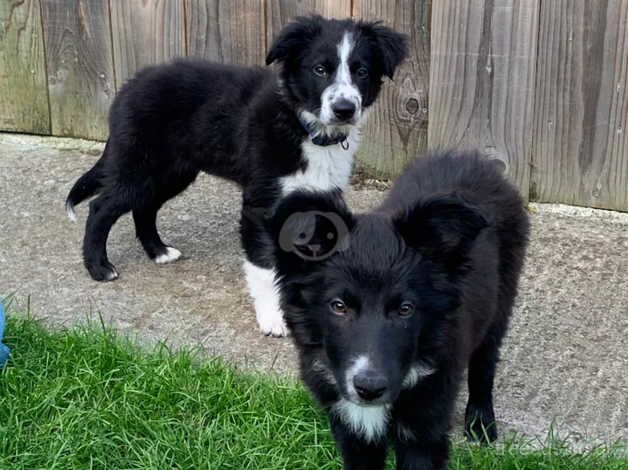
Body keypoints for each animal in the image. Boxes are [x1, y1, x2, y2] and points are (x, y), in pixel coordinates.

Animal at [65, 16, 408, 336]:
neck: (303, 127)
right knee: (101, 208)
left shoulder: (318, 194)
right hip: (139, 166)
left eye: (362, 71)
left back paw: (159, 252)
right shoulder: (260, 204)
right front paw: (273, 318)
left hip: (171, 172)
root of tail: (128, 86)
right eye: (320, 69)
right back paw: (99, 268)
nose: (344, 109)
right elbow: (264, 266)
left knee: (144, 207)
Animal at [270, 151, 528, 470]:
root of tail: (474, 159)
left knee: (485, 362)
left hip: (502, 301)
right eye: (338, 306)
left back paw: (481, 423)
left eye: (405, 309)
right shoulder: (352, 430)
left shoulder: (424, 433)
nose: (369, 388)